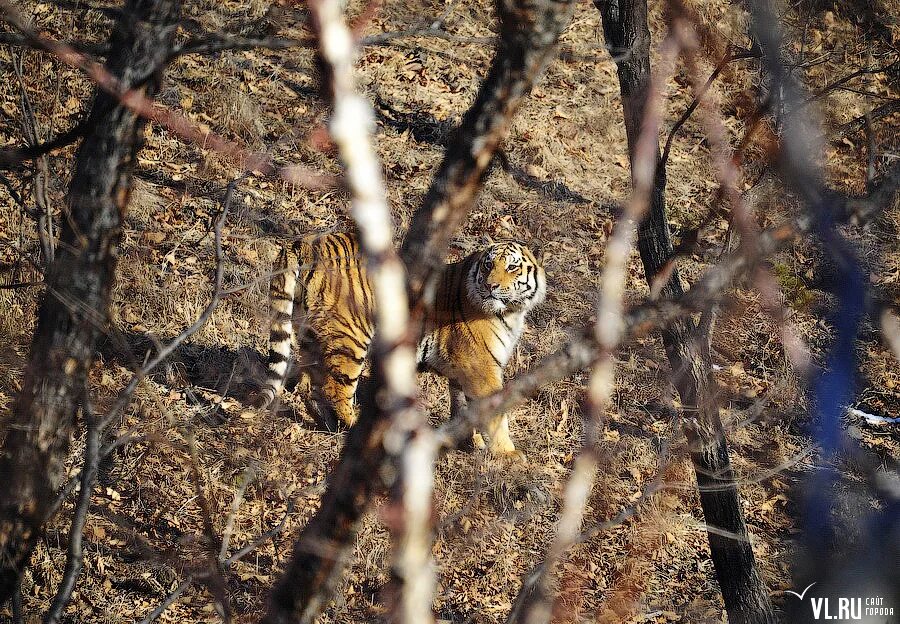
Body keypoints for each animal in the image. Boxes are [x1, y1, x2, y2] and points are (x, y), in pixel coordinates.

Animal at [256, 230, 544, 454]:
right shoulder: (481, 368)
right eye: (488, 265)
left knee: (309, 385)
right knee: (335, 389)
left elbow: (463, 407)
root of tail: (308, 241)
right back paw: (353, 427)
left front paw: (470, 442)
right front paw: (508, 455)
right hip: (351, 338)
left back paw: (327, 424)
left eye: (511, 267)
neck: (511, 311)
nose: (489, 286)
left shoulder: (462, 370)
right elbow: (495, 415)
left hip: (310, 334)